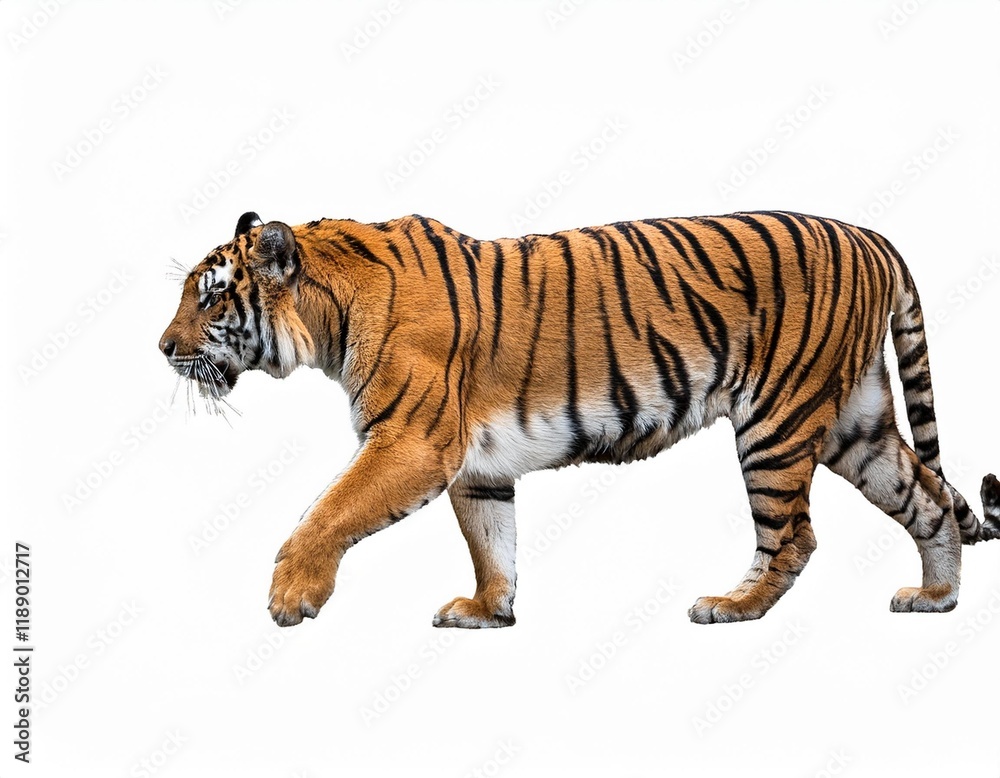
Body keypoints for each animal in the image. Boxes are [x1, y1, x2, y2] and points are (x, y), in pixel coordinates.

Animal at [160, 209, 1000, 628]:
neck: (329, 319)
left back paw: (732, 606)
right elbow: (492, 542)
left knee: (795, 536)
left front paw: (291, 596)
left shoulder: (411, 442)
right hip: (857, 422)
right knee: (928, 499)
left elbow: (326, 512)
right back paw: (934, 598)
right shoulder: (475, 466)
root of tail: (871, 236)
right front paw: (487, 611)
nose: (162, 348)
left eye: (208, 297)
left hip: (778, 419)